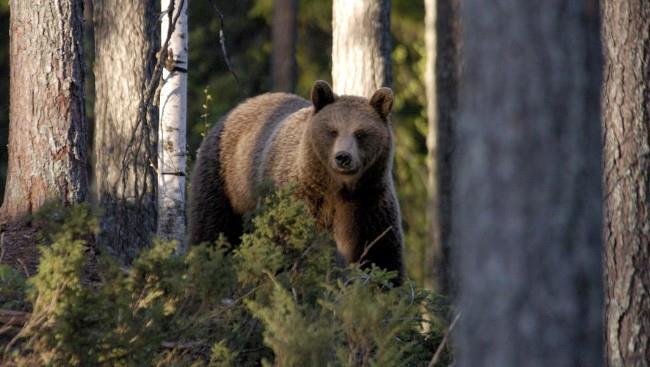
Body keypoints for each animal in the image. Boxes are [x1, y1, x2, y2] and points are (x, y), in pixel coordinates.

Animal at [185, 80, 402, 282]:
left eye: (361, 133)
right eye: (332, 131)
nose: (343, 157)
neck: (340, 188)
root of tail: (235, 109)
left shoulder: (369, 203)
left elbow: (382, 252)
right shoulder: (301, 198)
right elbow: (290, 243)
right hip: (225, 181)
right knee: (211, 230)